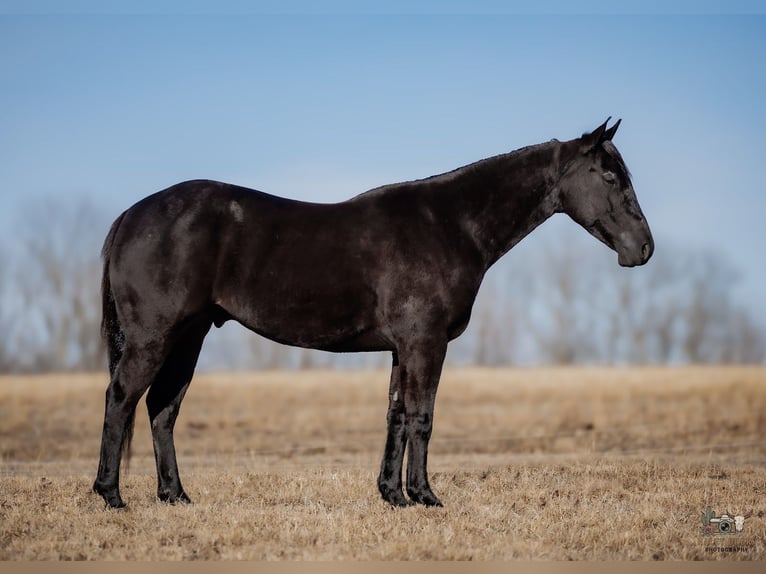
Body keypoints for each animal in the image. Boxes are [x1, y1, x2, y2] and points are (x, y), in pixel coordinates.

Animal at [94, 118, 653, 509]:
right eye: (608, 175)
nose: (643, 249)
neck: (451, 224)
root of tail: (130, 216)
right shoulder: (426, 343)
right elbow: (423, 416)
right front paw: (426, 497)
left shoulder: (402, 348)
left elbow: (396, 415)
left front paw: (393, 495)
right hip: (154, 336)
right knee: (121, 399)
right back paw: (111, 495)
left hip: (188, 337)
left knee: (162, 408)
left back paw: (175, 496)